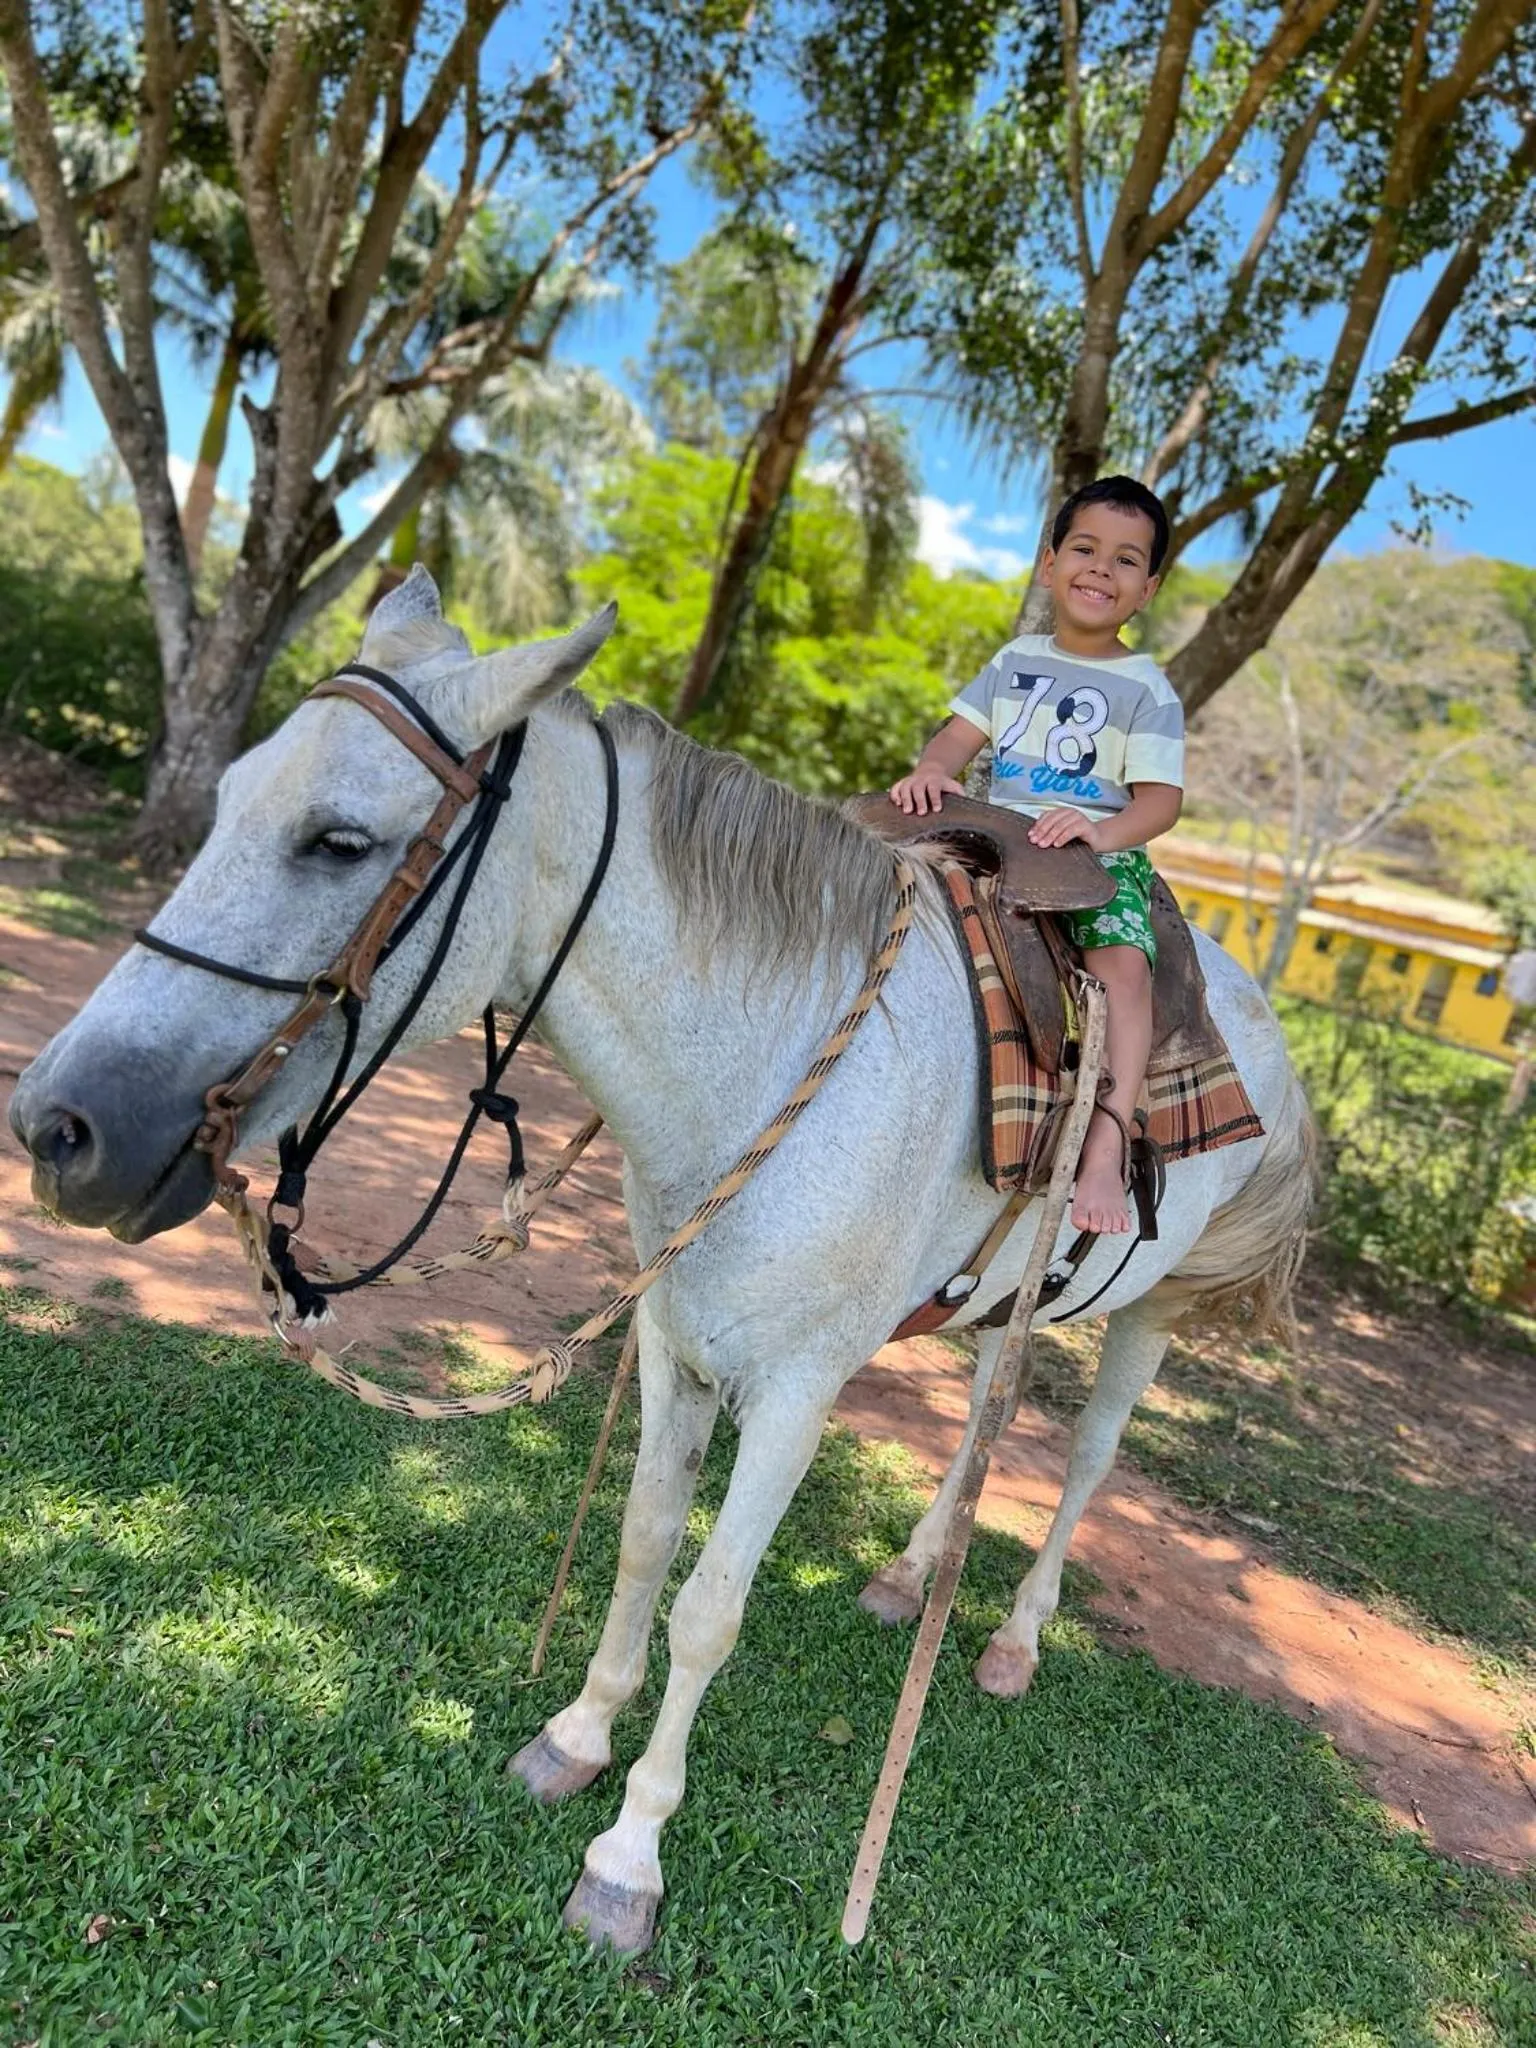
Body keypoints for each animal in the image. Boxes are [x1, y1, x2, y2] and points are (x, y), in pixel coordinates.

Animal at [9, 570, 1314, 1954]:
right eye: (225, 802)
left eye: (341, 841)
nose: (58, 1125)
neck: (778, 1055)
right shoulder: (673, 1345)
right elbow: (641, 1543)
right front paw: (576, 1738)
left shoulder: (795, 1392)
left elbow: (710, 1608)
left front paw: (629, 1855)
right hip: (1009, 1302)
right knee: (985, 1419)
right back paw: (910, 1574)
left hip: (1152, 1315)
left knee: (1085, 1459)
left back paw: (1013, 1638)